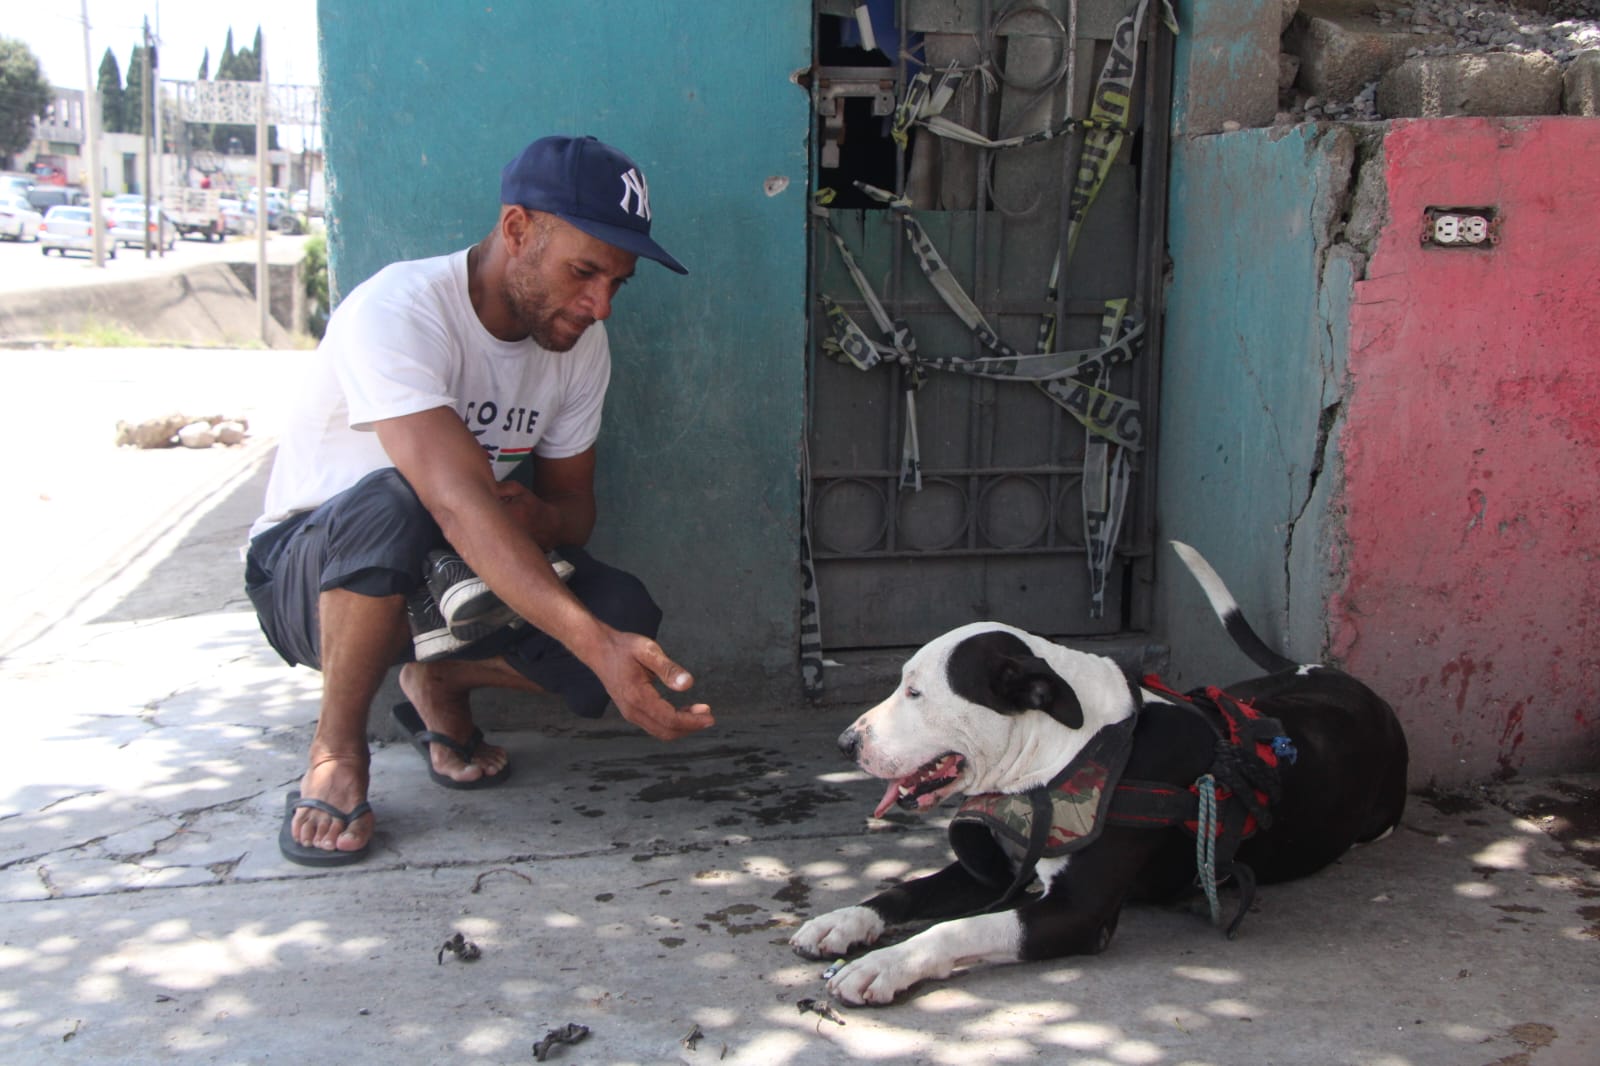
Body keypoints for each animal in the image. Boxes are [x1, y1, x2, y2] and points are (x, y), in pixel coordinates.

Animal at [793, 544, 1408, 998]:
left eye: (916, 693)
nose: (847, 743)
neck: (1058, 750)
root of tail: (1346, 679)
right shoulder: (989, 874)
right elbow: (901, 891)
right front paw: (844, 921)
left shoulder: (1076, 912)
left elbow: (955, 928)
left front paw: (885, 964)